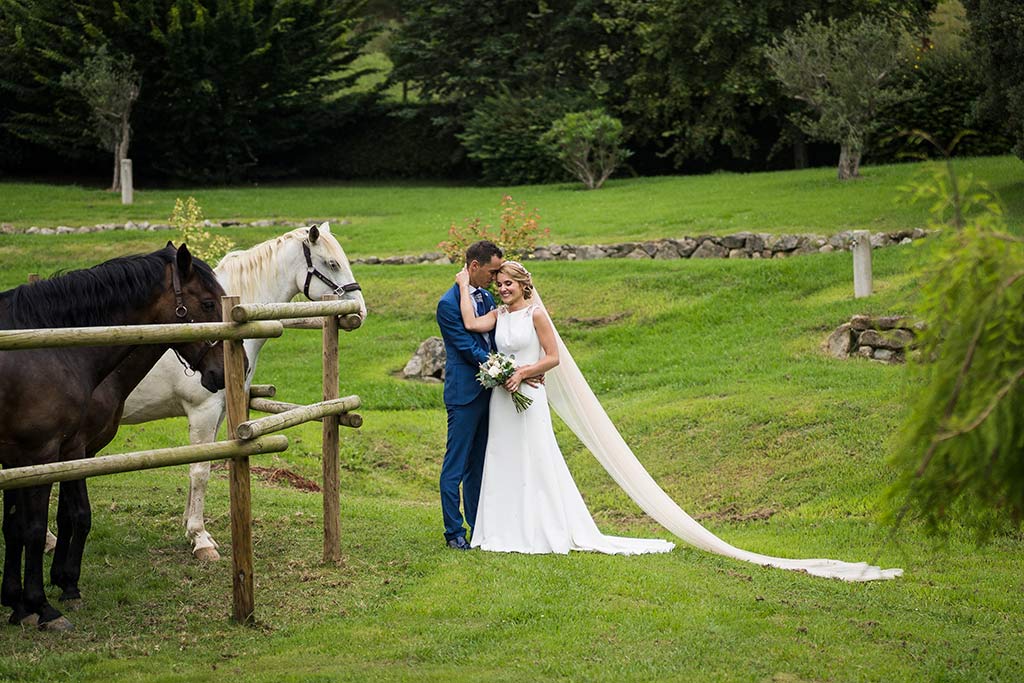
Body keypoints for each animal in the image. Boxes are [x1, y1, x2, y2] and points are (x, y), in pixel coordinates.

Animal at [0, 244, 228, 630]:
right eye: (209, 304)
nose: (223, 372)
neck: (50, 350)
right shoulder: (47, 452)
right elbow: (44, 524)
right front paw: (44, 603)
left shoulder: (44, 454)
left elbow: (26, 523)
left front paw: (22, 600)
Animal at [110, 224, 366, 561]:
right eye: (332, 264)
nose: (361, 311)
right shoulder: (202, 411)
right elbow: (200, 471)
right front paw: (200, 539)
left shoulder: (219, 412)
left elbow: (199, 467)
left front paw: (190, 529)